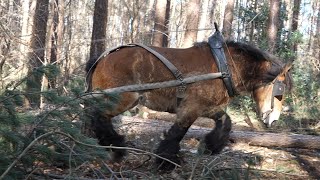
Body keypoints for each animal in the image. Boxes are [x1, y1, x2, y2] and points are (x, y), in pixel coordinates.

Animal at [85, 40, 292, 170]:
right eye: (280, 92)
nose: (274, 120)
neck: (225, 67)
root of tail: (101, 60)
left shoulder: (207, 107)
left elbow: (226, 121)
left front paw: (211, 146)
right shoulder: (190, 108)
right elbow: (177, 133)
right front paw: (165, 162)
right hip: (123, 98)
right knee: (98, 116)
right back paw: (115, 146)